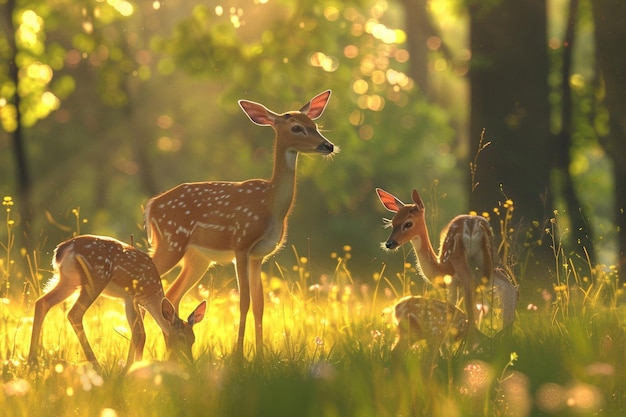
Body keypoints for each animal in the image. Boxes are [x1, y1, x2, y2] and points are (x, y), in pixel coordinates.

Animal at [29, 236, 205, 366]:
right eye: (181, 338)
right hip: (96, 278)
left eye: (193, 339)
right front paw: (134, 368)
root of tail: (64, 249)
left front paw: (132, 367)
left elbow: (139, 334)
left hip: (68, 280)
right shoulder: (134, 296)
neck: (152, 294)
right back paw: (96, 365)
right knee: (74, 313)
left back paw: (32, 360)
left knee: (42, 302)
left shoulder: (128, 299)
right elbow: (140, 334)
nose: (189, 362)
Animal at [144, 89, 336, 352]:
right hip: (172, 241)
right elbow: (244, 301)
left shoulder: (259, 255)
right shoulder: (242, 243)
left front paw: (260, 353)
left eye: (315, 125)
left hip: (197, 257)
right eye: (297, 128)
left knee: (171, 295)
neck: (270, 205)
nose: (328, 145)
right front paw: (239, 354)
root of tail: (151, 206)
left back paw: (171, 349)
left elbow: (260, 304)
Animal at [372, 187, 494, 326]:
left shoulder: (451, 281)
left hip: (458, 258)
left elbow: (452, 304)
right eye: (393, 222)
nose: (389, 244)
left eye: (408, 224)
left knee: (470, 287)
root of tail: (472, 227)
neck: (439, 268)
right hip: (488, 264)